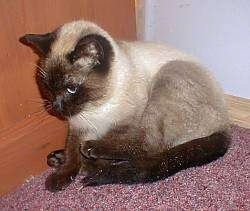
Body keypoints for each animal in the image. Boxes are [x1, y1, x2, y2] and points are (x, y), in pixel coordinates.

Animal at [19, 20, 230, 192]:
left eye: (71, 89)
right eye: (47, 86)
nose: (55, 107)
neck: (96, 107)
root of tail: (225, 126)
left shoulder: (126, 125)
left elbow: (121, 146)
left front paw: (80, 163)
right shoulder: (77, 126)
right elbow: (72, 152)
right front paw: (62, 175)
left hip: (167, 77)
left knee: (149, 148)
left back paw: (87, 154)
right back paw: (58, 158)